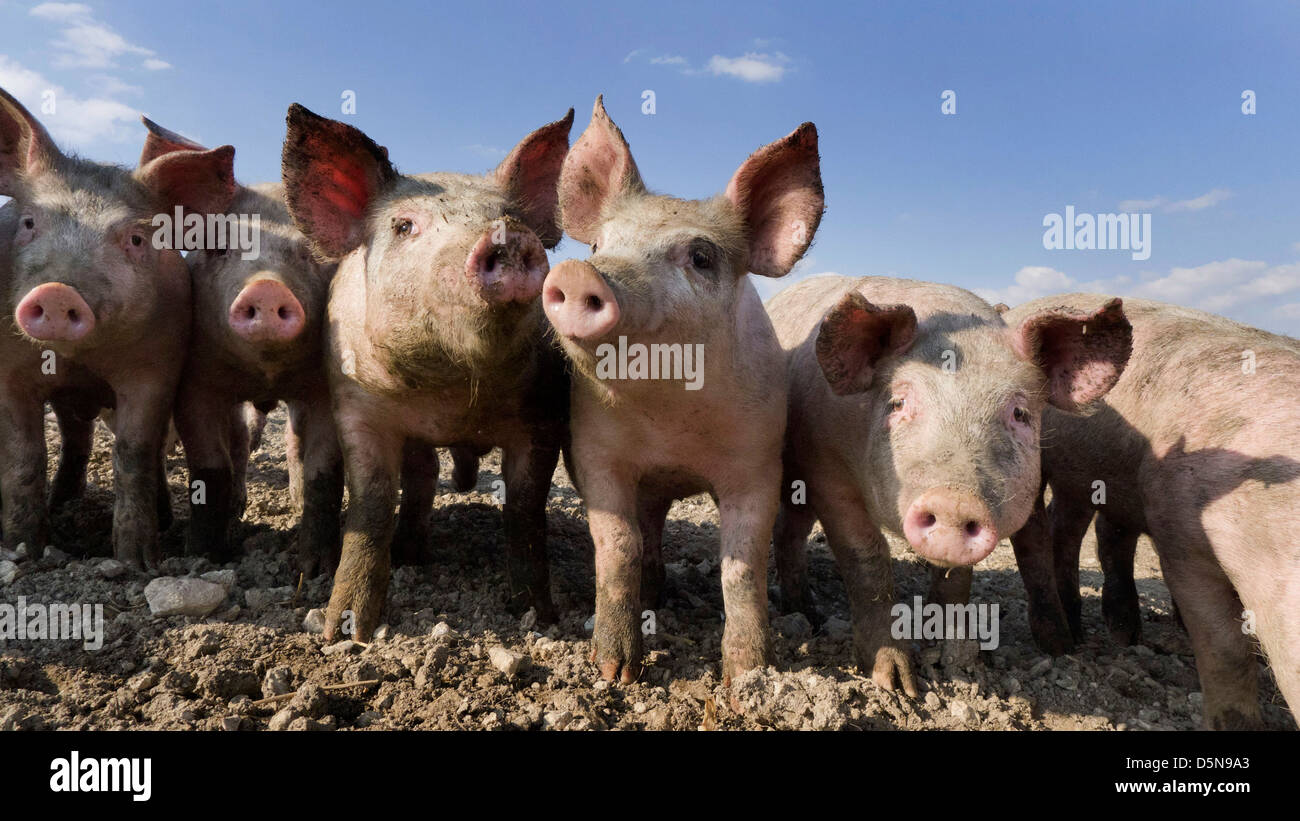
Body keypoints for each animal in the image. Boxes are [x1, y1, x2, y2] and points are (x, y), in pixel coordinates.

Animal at [0, 86, 236, 566]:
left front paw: (136, 563)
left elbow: (135, 452)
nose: (58, 291)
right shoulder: (7, 368)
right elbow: (23, 454)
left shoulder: (156, 366)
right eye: (29, 223)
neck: (79, 361)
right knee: (75, 439)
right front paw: (21, 551)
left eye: (136, 239)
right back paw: (62, 505)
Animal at [282, 103, 572, 641]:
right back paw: (395, 559)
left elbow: (525, 511)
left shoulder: (544, 414)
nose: (509, 236)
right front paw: (344, 632)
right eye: (403, 226)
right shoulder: (357, 405)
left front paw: (540, 617)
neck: (450, 391)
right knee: (416, 477)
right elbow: (372, 504)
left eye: (514, 217)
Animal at [543, 96, 826, 680]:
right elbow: (618, 544)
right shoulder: (593, 452)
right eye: (600, 243)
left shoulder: (757, 461)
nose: (581, 272)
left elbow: (741, 566)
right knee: (647, 530)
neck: (668, 422)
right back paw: (653, 595)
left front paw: (746, 679)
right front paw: (614, 671)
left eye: (700, 257)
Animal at [764, 275, 1133, 691]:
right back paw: (807, 618)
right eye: (897, 403)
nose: (954, 502)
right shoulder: (825, 468)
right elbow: (866, 557)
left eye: (1020, 413)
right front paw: (897, 683)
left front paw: (948, 657)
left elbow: (956, 579)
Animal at [1003, 294, 1300, 732]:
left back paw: (1121, 635)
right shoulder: (1180, 538)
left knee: (1081, 532)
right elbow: (1226, 651)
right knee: (1045, 535)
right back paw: (1066, 641)